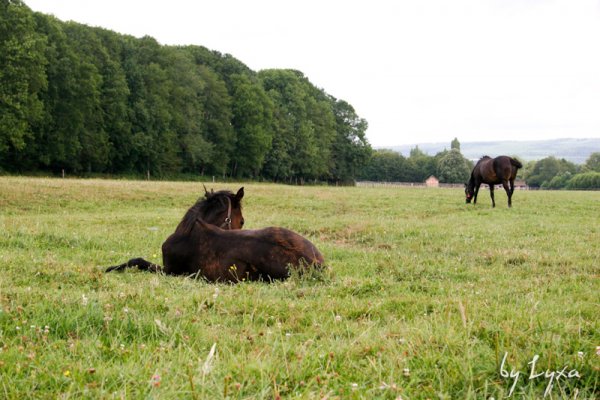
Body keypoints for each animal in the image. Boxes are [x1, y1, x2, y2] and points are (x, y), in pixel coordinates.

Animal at [106, 187, 324, 282]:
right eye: (242, 221)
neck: (189, 230)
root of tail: (316, 263)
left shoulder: (170, 271)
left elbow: (138, 261)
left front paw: (111, 268)